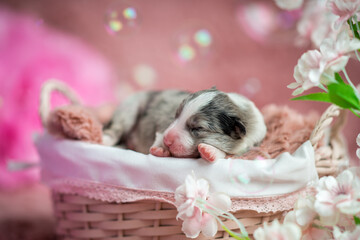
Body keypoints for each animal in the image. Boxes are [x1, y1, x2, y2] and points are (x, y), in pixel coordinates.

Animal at [102, 87, 266, 162]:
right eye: (176, 115)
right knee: (115, 128)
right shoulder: (164, 123)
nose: (167, 140)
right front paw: (161, 147)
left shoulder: (250, 142)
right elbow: (159, 133)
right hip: (130, 108)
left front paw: (210, 151)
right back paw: (104, 139)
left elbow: (231, 153)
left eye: (197, 128)